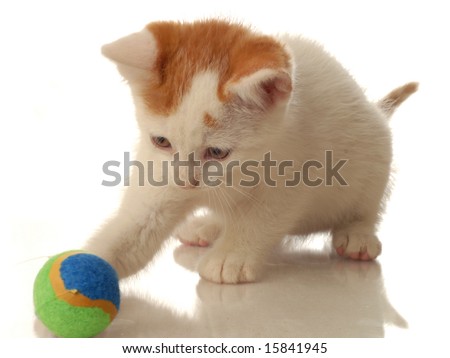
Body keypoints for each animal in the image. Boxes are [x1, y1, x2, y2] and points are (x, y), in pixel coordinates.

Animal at [85, 19, 418, 284]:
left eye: (217, 152)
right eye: (161, 142)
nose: (185, 182)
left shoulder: (297, 171)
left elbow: (261, 216)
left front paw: (231, 256)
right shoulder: (157, 169)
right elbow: (137, 224)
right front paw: (89, 265)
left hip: (376, 151)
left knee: (367, 204)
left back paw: (357, 234)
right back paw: (208, 226)